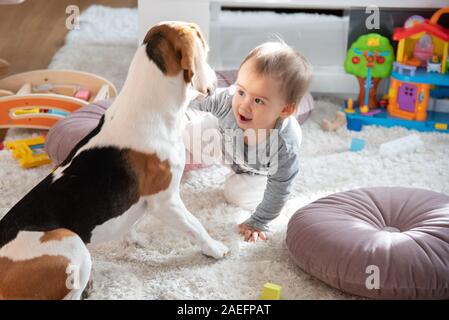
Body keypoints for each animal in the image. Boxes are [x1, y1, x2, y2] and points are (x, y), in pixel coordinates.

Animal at [0, 22, 229, 300]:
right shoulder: (166, 201)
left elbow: (132, 220)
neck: (150, 107)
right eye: (205, 52)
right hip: (73, 244)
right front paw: (215, 249)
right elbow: (196, 226)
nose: (216, 79)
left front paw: (134, 239)